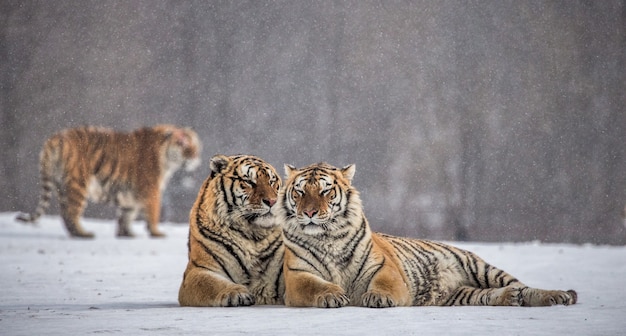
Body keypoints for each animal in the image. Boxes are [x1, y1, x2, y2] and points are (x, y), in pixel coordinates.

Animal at [15, 124, 200, 239]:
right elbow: (152, 212)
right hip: (78, 183)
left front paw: (126, 234)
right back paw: (84, 235)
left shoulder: (129, 193)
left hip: (61, 185)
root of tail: (55, 137)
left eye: (195, 146)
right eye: (184, 145)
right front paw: (156, 233)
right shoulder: (151, 189)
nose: (195, 158)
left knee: (65, 214)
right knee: (71, 213)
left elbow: (126, 214)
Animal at [176, 154, 282, 306]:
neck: (252, 234)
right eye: (248, 181)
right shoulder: (198, 270)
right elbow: (212, 284)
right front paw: (237, 294)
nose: (273, 201)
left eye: (272, 181)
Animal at [276, 162, 576, 308]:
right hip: (460, 294)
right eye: (300, 192)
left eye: (325, 191)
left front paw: (377, 298)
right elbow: (315, 286)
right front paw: (332, 296)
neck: (327, 237)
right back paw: (510, 298)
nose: (310, 212)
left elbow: (383, 284)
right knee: (493, 294)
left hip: (480, 267)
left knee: (522, 285)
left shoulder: (384, 268)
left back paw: (559, 296)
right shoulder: (298, 275)